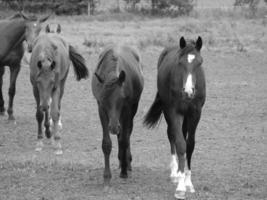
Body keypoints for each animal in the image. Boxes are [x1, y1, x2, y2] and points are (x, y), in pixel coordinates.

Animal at [92, 45, 146, 181]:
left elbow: (124, 139)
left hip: (132, 110)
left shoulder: (127, 109)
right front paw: (107, 175)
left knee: (127, 133)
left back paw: (126, 163)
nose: (113, 127)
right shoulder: (101, 109)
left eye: (122, 98)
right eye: (104, 99)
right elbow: (107, 143)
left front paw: (124, 171)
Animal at [143, 36, 206, 199]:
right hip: (168, 112)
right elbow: (180, 144)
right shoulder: (174, 112)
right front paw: (180, 187)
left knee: (182, 135)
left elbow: (190, 145)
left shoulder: (195, 113)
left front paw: (188, 183)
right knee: (172, 136)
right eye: (180, 62)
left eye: (199, 62)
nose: (188, 91)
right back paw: (175, 173)